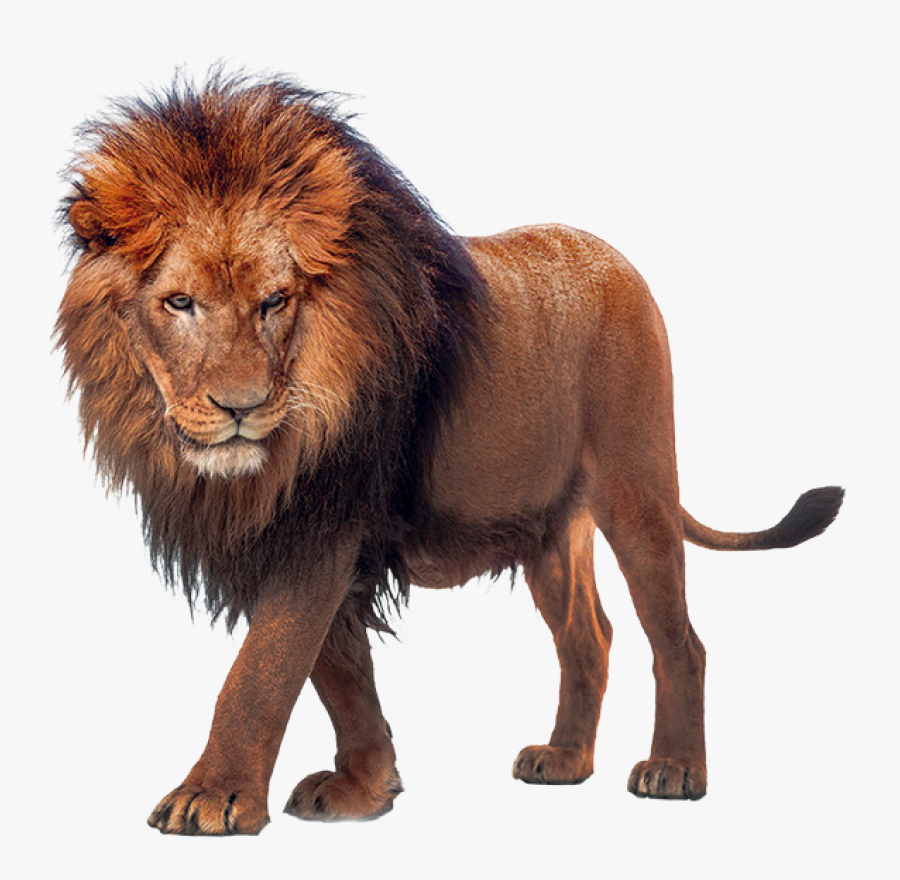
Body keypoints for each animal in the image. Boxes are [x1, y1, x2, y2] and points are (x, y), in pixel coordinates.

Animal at [57, 72, 843, 835]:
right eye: (179, 303)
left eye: (275, 301)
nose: (240, 408)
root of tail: (617, 260)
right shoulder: (304, 534)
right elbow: (340, 671)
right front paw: (365, 788)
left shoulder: (324, 523)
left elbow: (262, 670)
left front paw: (212, 797)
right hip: (549, 530)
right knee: (588, 637)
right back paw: (564, 760)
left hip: (636, 485)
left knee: (679, 639)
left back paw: (676, 771)